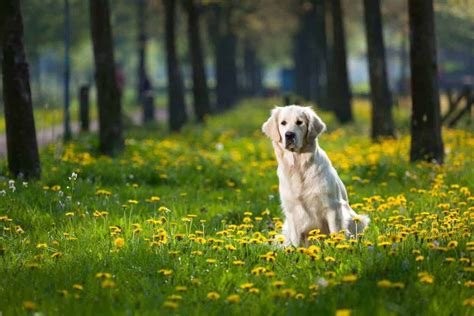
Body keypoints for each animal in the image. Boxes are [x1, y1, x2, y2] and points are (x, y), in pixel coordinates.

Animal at [262, 106, 370, 247]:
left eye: (299, 122)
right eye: (283, 123)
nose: (289, 135)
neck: (299, 166)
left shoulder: (332, 206)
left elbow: (336, 232)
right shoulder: (292, 210)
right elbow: (296, 241)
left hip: (358, 219)